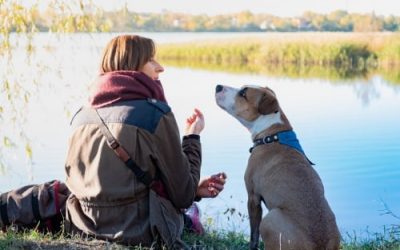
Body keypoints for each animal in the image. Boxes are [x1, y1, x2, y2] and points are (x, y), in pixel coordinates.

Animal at [214, 85, 340, 249]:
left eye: (243, 93)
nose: (218, 86)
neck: (271, 135)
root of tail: (319, 246)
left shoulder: (253, 197)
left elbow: (253, 235)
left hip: (270, 219)